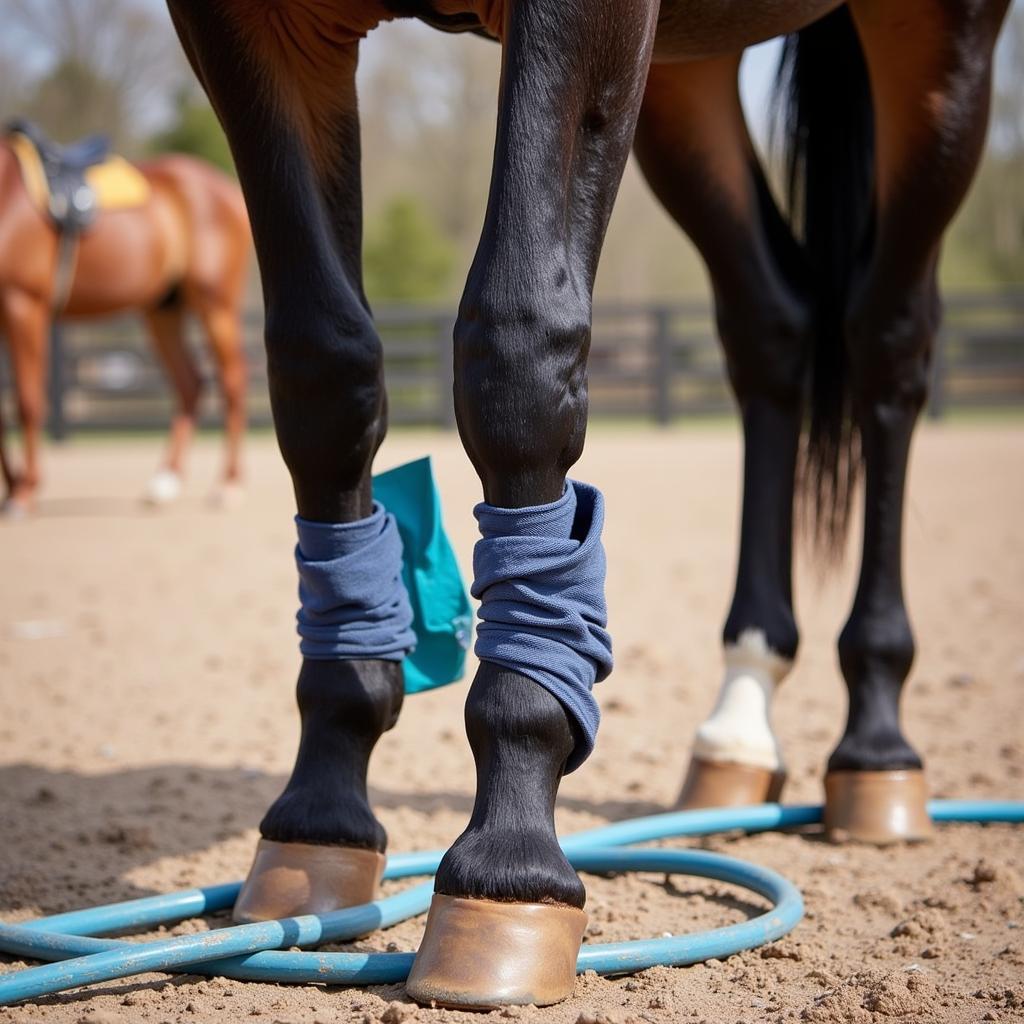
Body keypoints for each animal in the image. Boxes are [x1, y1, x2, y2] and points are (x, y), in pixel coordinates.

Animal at [0, 136, 249, 516]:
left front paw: (24, 492)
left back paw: (230, 483)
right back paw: (165, 481)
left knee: (232, 380)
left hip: (215, 304)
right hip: (163, 308)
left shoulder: (22, 303)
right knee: (190, 383)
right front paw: (14, 487)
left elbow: (27, 401)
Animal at [161, 0, 1007, 1007]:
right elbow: (321, 371)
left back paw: (875, 739)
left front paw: (510, 856)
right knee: (773, 326)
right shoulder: (249, 29)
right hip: (688, 76)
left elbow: (519, 343)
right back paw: (740, 722)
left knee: (889, 341)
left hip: (938, 45)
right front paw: (321, 809)